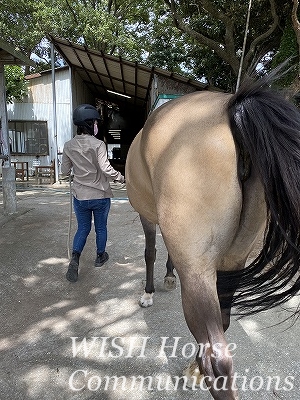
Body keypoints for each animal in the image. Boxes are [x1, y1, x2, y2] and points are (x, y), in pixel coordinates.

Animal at [123, 69, 300, 400]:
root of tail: (229, 109)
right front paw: (168, 277)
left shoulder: (148, 217)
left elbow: (150, 252)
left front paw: (148, 293)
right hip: (233, 260)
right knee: (224, 322)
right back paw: (193, 369)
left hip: (198, 271)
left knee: (216, 358)